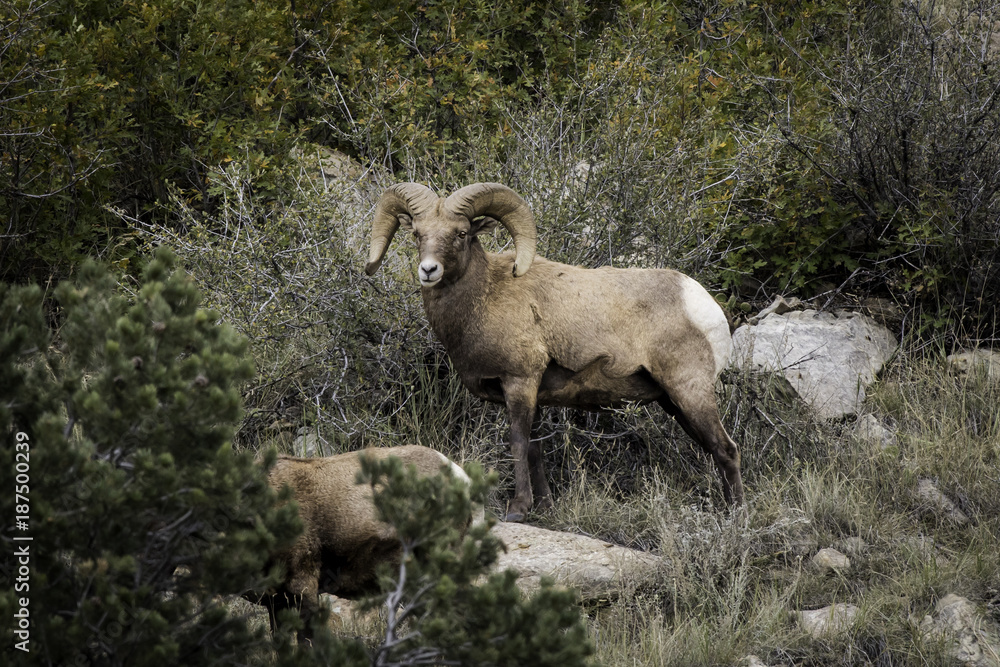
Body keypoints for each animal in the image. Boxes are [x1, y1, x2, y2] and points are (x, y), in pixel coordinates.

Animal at [365, 182, 743, 522]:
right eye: (417, 234)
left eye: (460, 233)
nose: (429, 270)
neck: (485, 297)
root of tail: (705, 305)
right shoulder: (532, 395)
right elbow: (535, 448)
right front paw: (544, 507)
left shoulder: (519, 382)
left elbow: (518, 443)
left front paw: (518, 509)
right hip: (672, 401)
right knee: (713, 448)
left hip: (689, 391)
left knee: (725, 449)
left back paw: (735, 516)